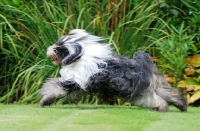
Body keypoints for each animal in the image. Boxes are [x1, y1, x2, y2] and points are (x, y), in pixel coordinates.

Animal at [39, 28, 188, 111]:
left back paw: (161, 107)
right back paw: (182, 106)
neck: (78, 57)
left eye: (59, 48)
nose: (49, 49)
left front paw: (45, 100)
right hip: (156, 86)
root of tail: (144, 66)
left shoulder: (74, 81)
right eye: (58, 43)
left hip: (140, 92)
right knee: (170, 94)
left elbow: (55, 88)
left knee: (156, 99)